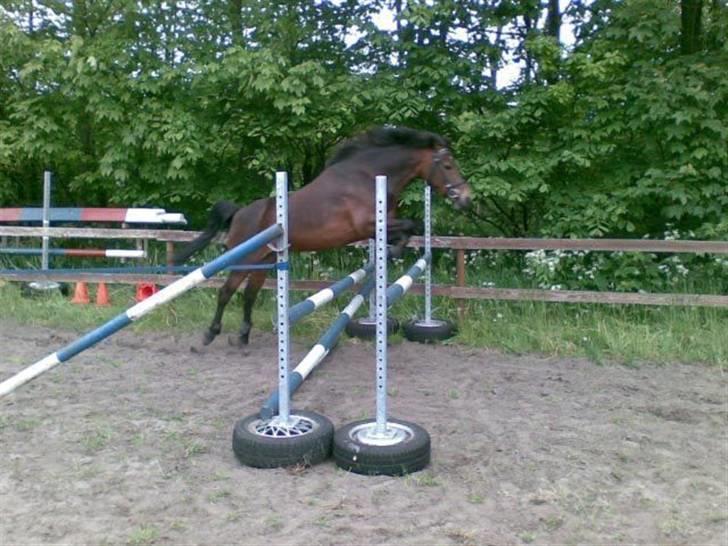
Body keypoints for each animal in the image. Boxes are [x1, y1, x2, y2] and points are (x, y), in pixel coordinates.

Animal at [176, 126, 472, 346]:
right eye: (447, 165)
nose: (466, 198)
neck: (366, 177)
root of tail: (239, 212)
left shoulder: (380, 226)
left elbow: (409, 229)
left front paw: (392, 253)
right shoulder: (367, 225)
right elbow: (412, 224)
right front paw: (393, 253)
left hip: (265, 259)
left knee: (249, 294)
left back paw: (242, 337)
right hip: (244, 257)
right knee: (227, 291)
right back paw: (210, 334)